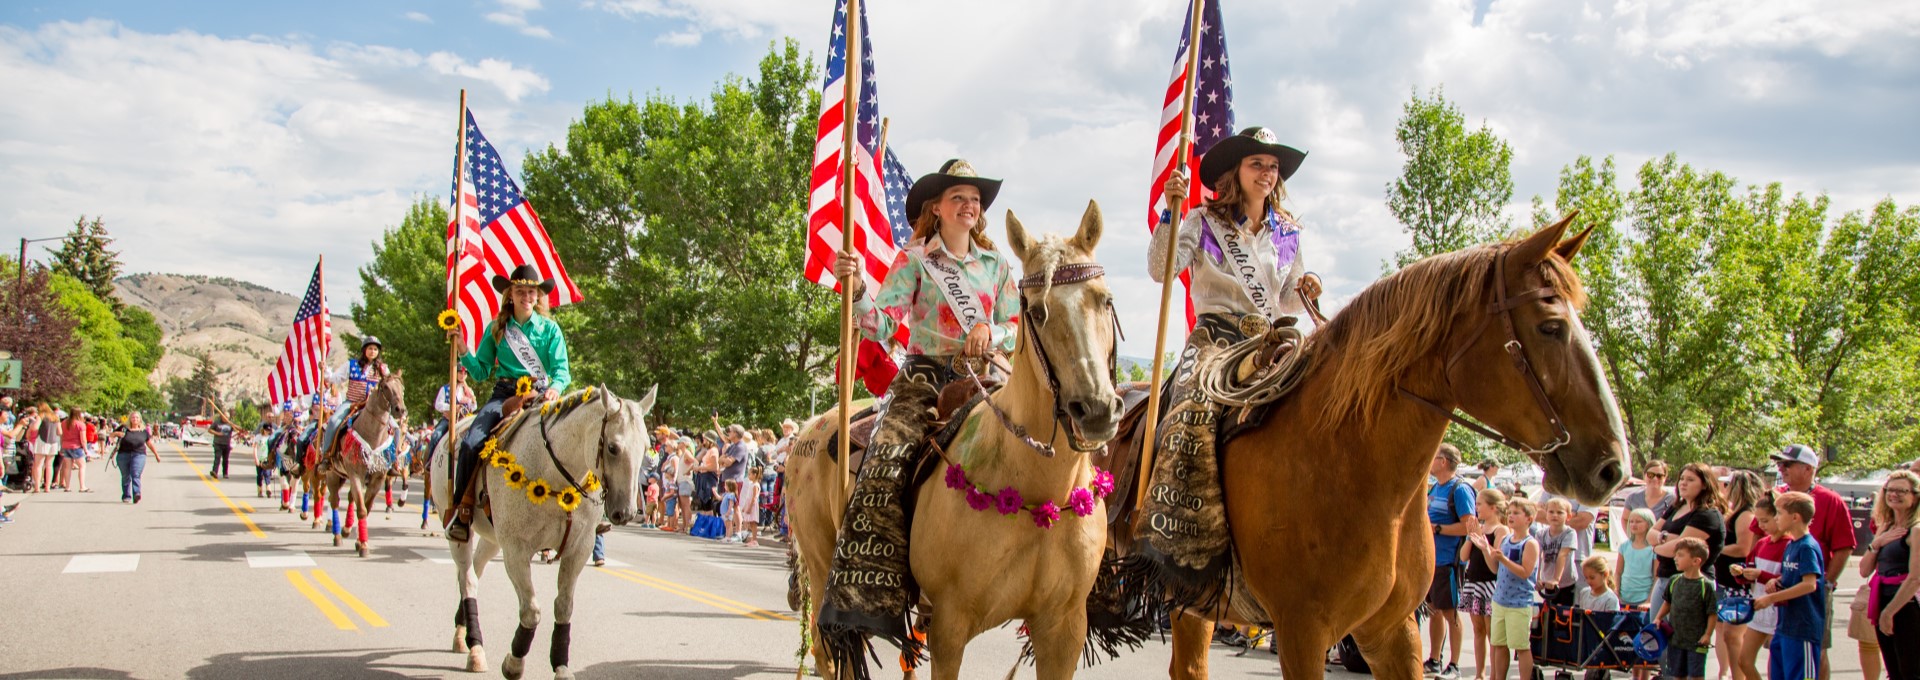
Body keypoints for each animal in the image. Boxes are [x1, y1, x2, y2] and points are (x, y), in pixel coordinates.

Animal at [320, 372, 407, 557]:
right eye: (385, 387)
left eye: (401, 387)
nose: (400, 410)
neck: (372, 434)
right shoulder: (355, 475)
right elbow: (361, 509)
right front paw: (364, 545)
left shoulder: (377, 478)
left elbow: (366, 507)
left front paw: (360, 542)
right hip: (333, 475)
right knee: (335, 501)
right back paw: (337, 535)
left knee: (349, 498)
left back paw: (346, 530)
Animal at [426, 386, 652, 676]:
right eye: (612, 447)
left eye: (646, 448)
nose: (626, 512)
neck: (555, 476)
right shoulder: (516, 550)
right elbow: (531, 610)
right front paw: (514, 663)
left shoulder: (578, 549)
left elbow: (564, 607)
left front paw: (561, 665)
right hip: (460, 534)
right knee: (467, 579)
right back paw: (475, 648)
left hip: (492, 538)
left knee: (474, 573)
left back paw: (462, 633)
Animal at [787, 201, 1121, 680]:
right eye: (1037, 311)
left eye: (1104, 299)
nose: (1095, 410)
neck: (1038, 490)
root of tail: (809, 428)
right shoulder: (951, 622)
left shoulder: (1064, 628)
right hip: (819, 564)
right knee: (826, 651)